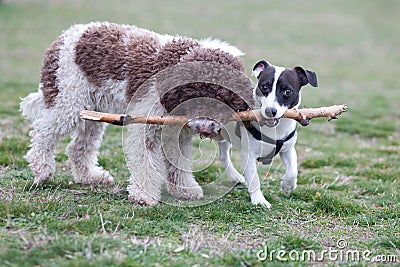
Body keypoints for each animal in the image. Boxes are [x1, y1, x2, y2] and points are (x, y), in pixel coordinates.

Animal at [217, 60, 318, 207]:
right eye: (264, 87)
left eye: (287, 91)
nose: (270, 111)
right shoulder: (249, 155)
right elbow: (254, 178)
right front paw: (259, 200)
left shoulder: (287, 150)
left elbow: (293, 170)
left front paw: (288, 185)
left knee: (223, 155)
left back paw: (234, 176)